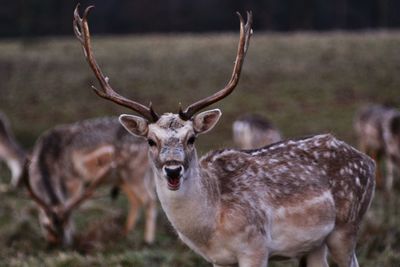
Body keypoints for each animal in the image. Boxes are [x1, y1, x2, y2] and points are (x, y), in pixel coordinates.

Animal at [26, 118, 156, 248]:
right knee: (135, 200)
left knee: (149, 200)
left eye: (66, 221)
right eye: (45, 226)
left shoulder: (74, 179)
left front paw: (74, 233)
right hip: (123, 178)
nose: (58, 243)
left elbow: (71, 203)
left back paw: (147, 241)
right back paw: (124, 232)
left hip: (135, 172)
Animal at [74, 5, 376, 266]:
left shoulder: (255, 247)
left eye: (191, 138)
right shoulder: (219, 260)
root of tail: (368, 162)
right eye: (151, 140)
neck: (210, 229)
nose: (173, 169)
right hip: (314, 245)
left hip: (346, 227)